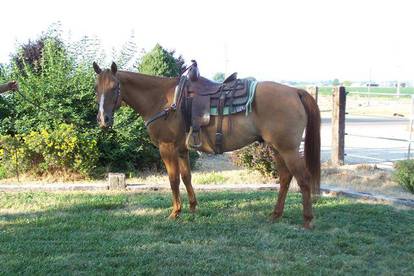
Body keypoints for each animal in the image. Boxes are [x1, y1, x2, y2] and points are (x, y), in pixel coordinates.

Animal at [93, 62, 320, 229]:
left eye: (114, 87)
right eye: (96, 89)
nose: (103, 119)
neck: (162, 100)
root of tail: (295, 91)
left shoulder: (167, 148)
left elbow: (173, 180)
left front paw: (175, 212)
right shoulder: (182, 149)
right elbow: (186, 177)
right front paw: (193, 208)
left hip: (288, 149)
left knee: (303, 179)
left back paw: (307, 220)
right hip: (276, 148)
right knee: (285, 178)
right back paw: (276, 215)